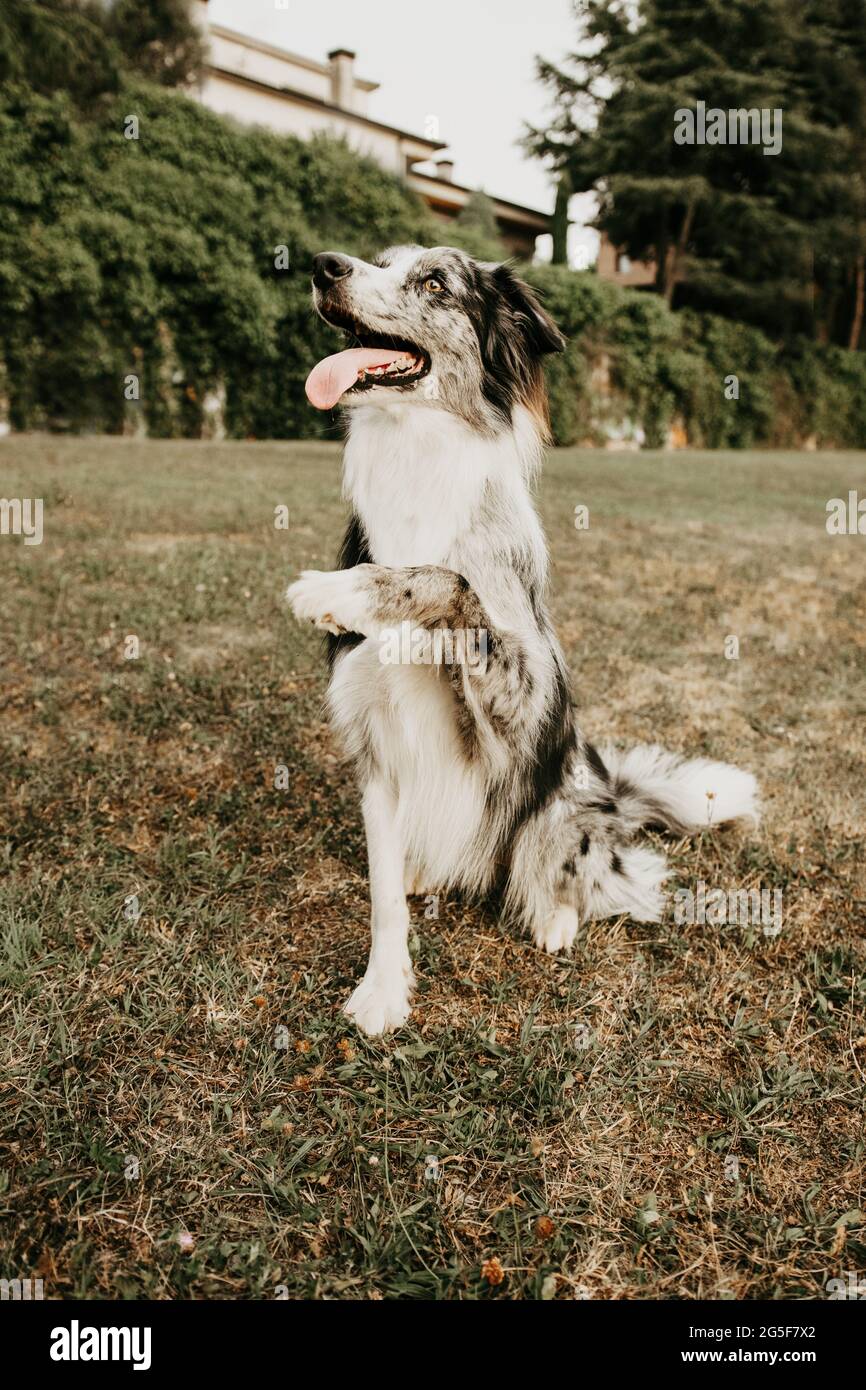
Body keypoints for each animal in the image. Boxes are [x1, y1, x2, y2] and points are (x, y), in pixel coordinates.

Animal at [286, 247, 756, 1034]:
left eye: (435, 282)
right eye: (378, 261)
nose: (325, 265)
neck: (418, 456)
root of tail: (610, 790)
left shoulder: (522, 700)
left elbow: (452, 584)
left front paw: (340, 590)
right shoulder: (375, 744)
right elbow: (381, 896)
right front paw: (383, 988)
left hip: (560, 797)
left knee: (591, 876)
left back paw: (555, 916)